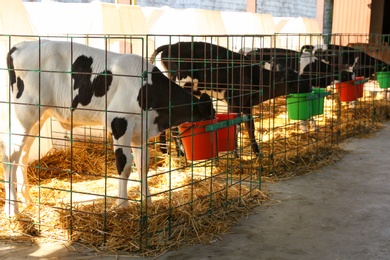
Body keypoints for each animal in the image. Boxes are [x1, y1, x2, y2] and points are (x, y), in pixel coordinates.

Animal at [2, 39, 213, 216]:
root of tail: (20, 45)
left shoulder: (140, 133)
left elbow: (143, 165)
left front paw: (147, 201)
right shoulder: (119, 123)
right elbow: (124, 166)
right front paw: (122, 205)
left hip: (39, 117)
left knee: (22, 155)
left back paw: (27, 200)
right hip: (25, 112)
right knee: (9, 157)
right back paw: (12, 209)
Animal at [150, 41, 310, 155]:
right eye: (296, 80)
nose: (309, 86)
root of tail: (169, 45)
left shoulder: (246, 104)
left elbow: (250, 128)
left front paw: (257, 154)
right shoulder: (234, 102)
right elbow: (236, 127)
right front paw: (235, 154)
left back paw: (165, 151)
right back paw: (180, 152)